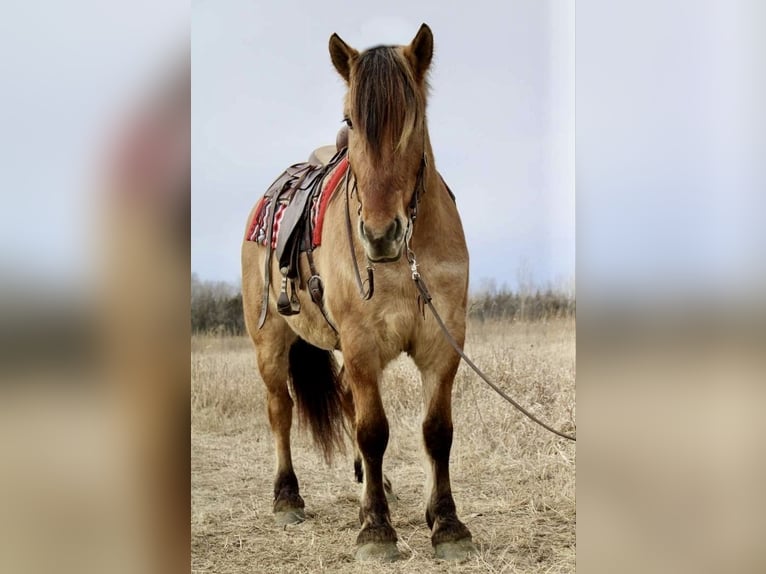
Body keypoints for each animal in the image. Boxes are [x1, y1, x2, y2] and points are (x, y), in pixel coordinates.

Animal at [243, 23, 476, 564]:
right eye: (351, 118)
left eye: (413, 118)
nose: (380, 235)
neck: (407, 261)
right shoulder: (362, 344)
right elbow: (374, 431)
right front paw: (376, 529)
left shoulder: (443, 344)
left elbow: (438, 432)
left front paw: (446, 523)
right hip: (271, 344)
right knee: (281, 411)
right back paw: (287, 497)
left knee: (348, 401)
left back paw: (375, 482)